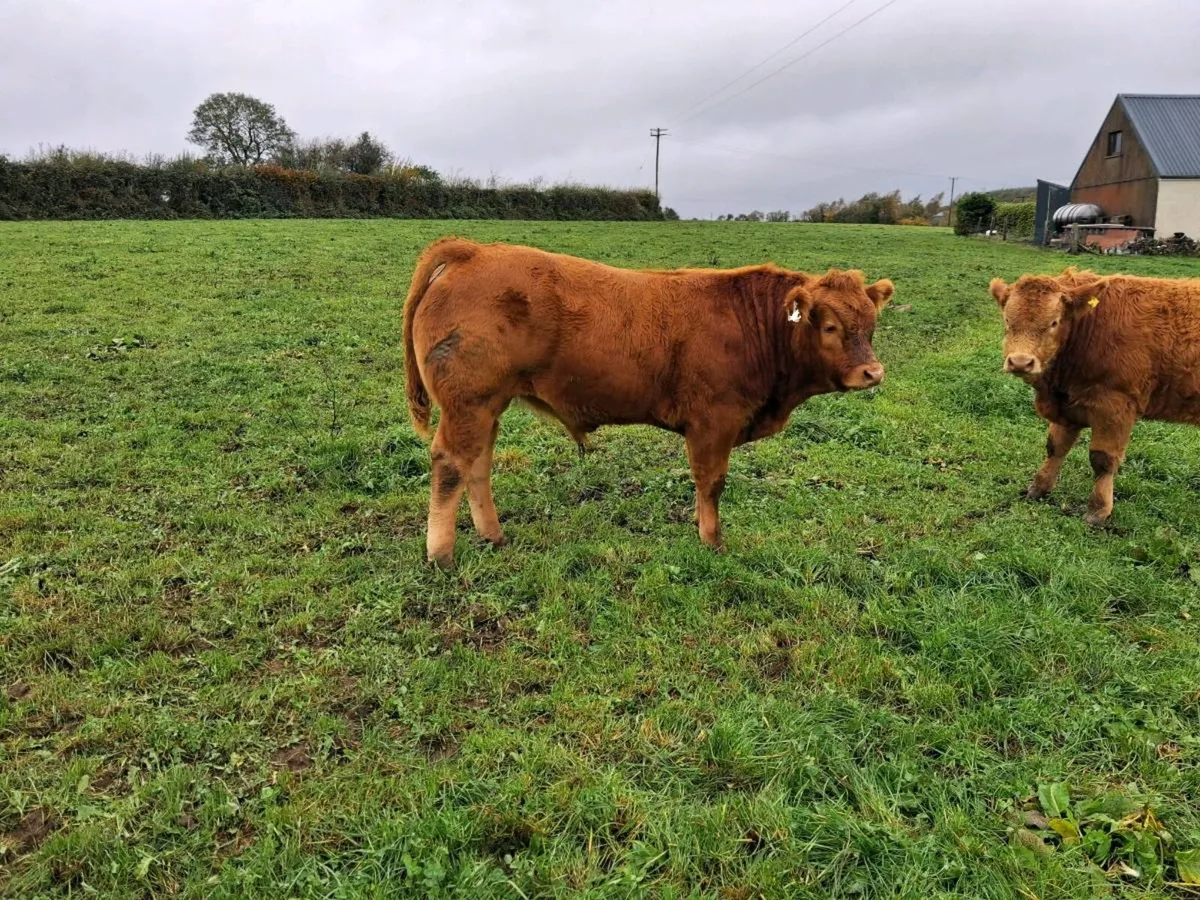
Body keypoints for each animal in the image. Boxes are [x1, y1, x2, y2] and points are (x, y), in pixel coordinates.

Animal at [403, 237, 894, 568]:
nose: (872, 373)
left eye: (871, 324)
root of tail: (475, 250)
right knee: (451, 465)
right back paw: (441, 555)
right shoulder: (714, 422)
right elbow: (711, 483)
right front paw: (712, 541)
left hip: (487, 406)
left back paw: (493, 535)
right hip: (469, 403)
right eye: (829, 326)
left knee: (477, 465)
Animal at [991, 266, 1200, 526]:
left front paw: (1098, 510)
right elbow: (1055, 447)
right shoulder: (1068, 405)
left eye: (1053, 322)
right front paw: (1038, 488)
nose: (1020, 362)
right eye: (1008, 321)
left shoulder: (1115, 406)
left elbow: (1102, 460)